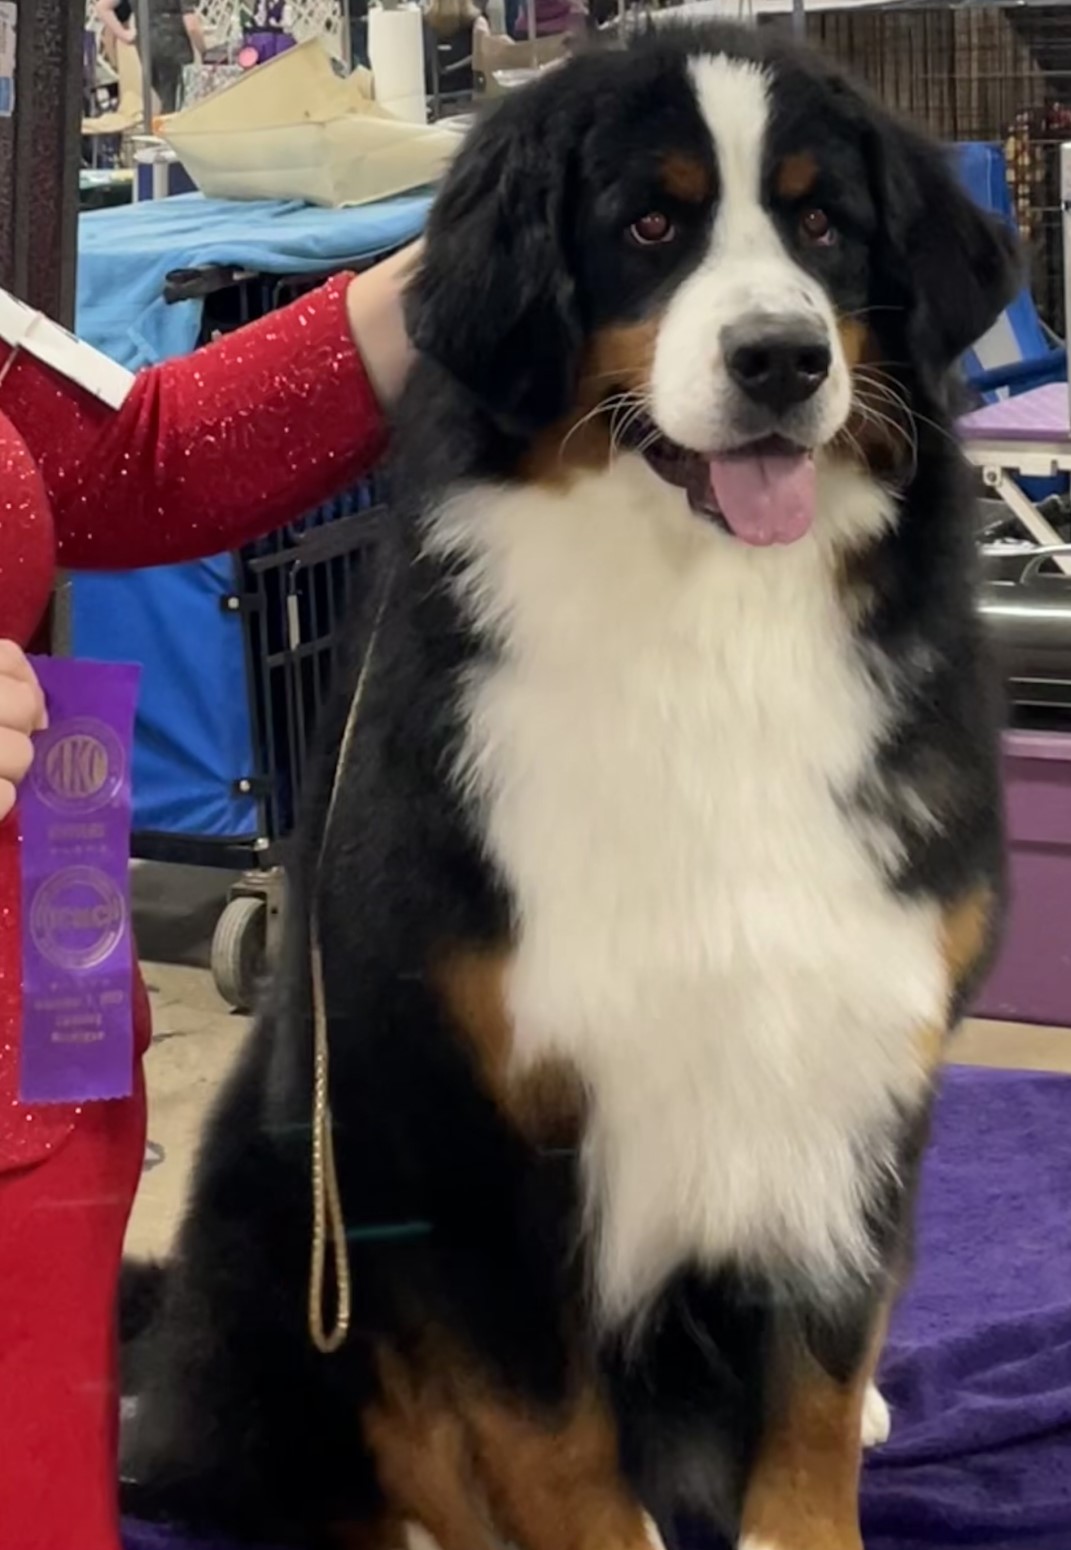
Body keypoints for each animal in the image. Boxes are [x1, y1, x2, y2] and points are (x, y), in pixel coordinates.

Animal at [121, 22, 1018, 1550]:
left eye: (823, 225)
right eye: (648, 225)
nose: (781, 359)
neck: (712, 627)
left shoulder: (852, 1051)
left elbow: (817, 1378)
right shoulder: (466, 1112)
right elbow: (547, 1434)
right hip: (280, 1201)